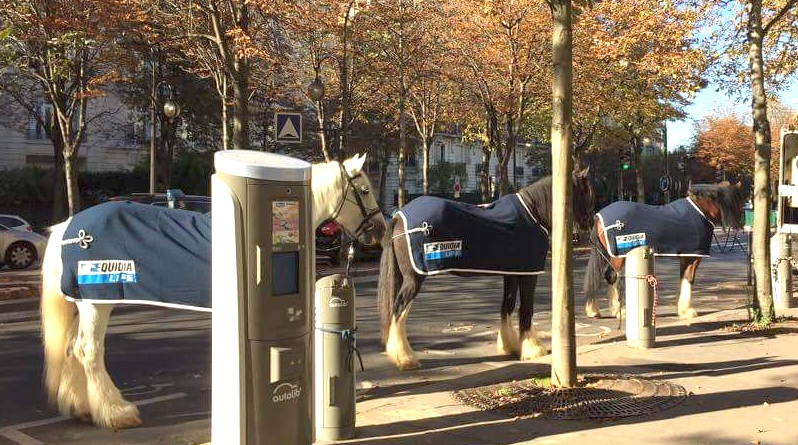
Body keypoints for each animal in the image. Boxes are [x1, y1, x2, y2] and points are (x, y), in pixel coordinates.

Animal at [39, 153, 385, 429]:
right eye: (365, 190)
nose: (380, 229)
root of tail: (66, 229)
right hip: (97, 301)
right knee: (88, 350)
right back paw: (115, 412)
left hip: (82, 302)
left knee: (70, 350)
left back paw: (82, 408)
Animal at [377, 167, 595, 371]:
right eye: (586, 192)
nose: (590, 223)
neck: (533, 212)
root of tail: (398, 217)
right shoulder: (529, 274)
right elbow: (526, 310)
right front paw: (533, 349)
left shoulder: (513, 273)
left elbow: (507, 305)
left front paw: (510, 345)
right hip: (415, 277)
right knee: (399, 308)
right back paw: (406, 358)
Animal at [583, 181, 745, 320]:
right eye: (738, 201)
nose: (741, 224)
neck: (700, 211)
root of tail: (599, 217)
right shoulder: (693, 257)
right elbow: (689, 278)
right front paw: (688, 312)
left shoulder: (685, 256)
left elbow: (683, 278)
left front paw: (682, 310)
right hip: (617, 256)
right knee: (611, 277)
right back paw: (618, 311)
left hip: (606, 254)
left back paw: (594, 311)